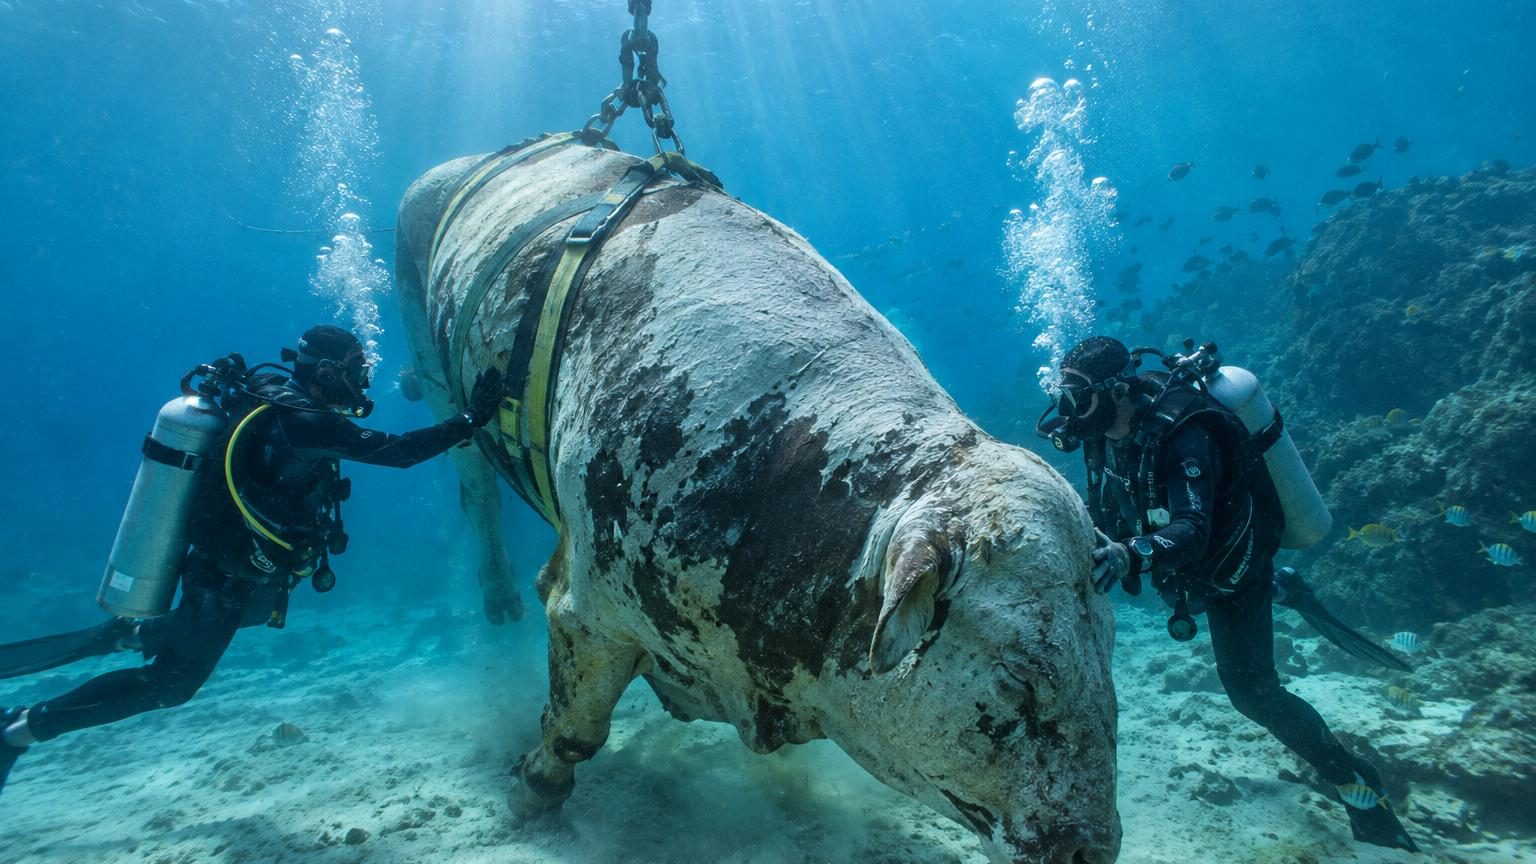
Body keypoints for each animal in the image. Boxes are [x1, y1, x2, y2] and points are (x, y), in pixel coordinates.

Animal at [393, 134, 1120, 864]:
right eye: (1019, 682)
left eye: (1107, 660)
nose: (1095, 846)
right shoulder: (585, 609)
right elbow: (576, 730)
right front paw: (531, 791)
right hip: (432, 364)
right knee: (474, 487)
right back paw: (496, 594)